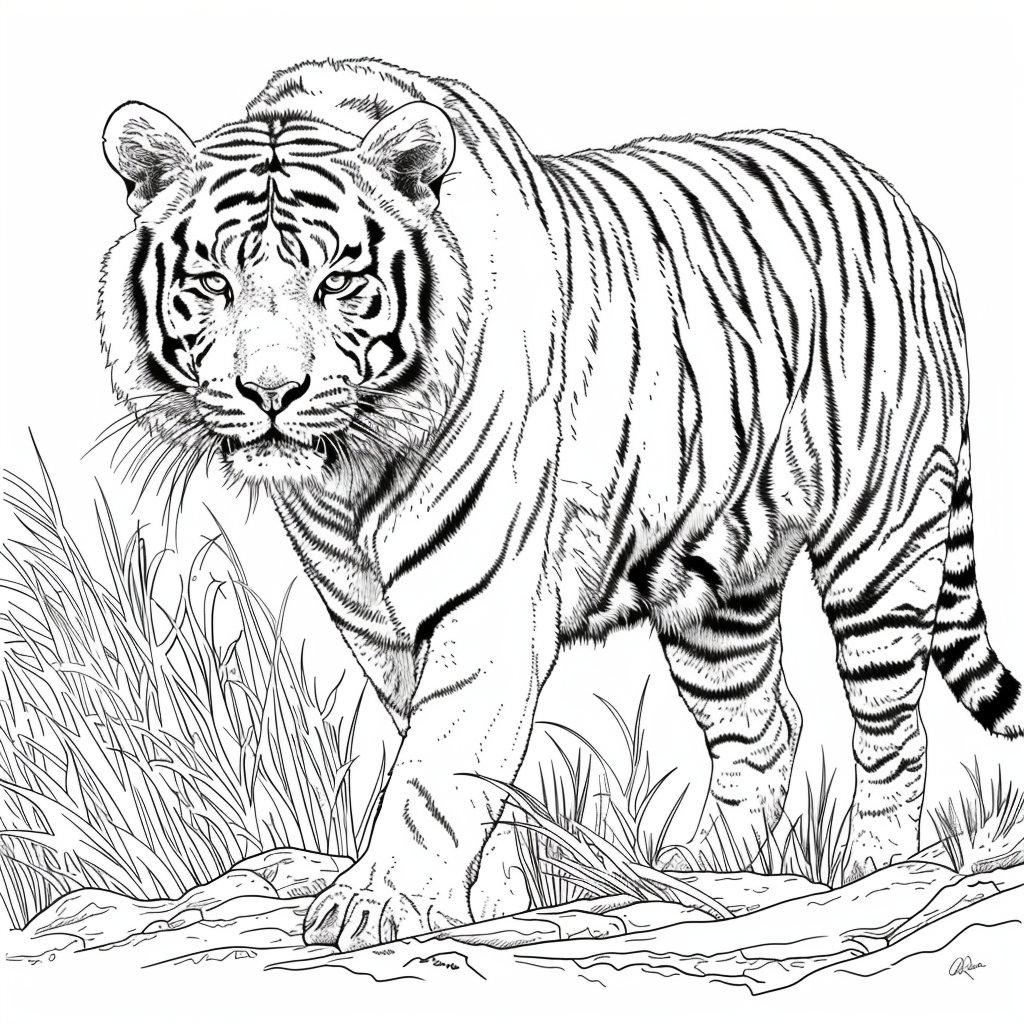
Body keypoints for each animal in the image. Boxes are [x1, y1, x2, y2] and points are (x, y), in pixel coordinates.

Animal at [99, 57, 1021, 951]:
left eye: (338, 283)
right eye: (212, 282)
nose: (271, 391)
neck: (349, 474)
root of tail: (906, 210)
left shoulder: (485, 606)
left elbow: (437, 766)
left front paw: (381, 904)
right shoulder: (375, 623)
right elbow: (464, 768)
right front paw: (490, 905)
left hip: (882, 548)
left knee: (893, 731)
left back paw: (879, 874)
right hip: (719, 591)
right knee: (763, 726)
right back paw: (714, 878)